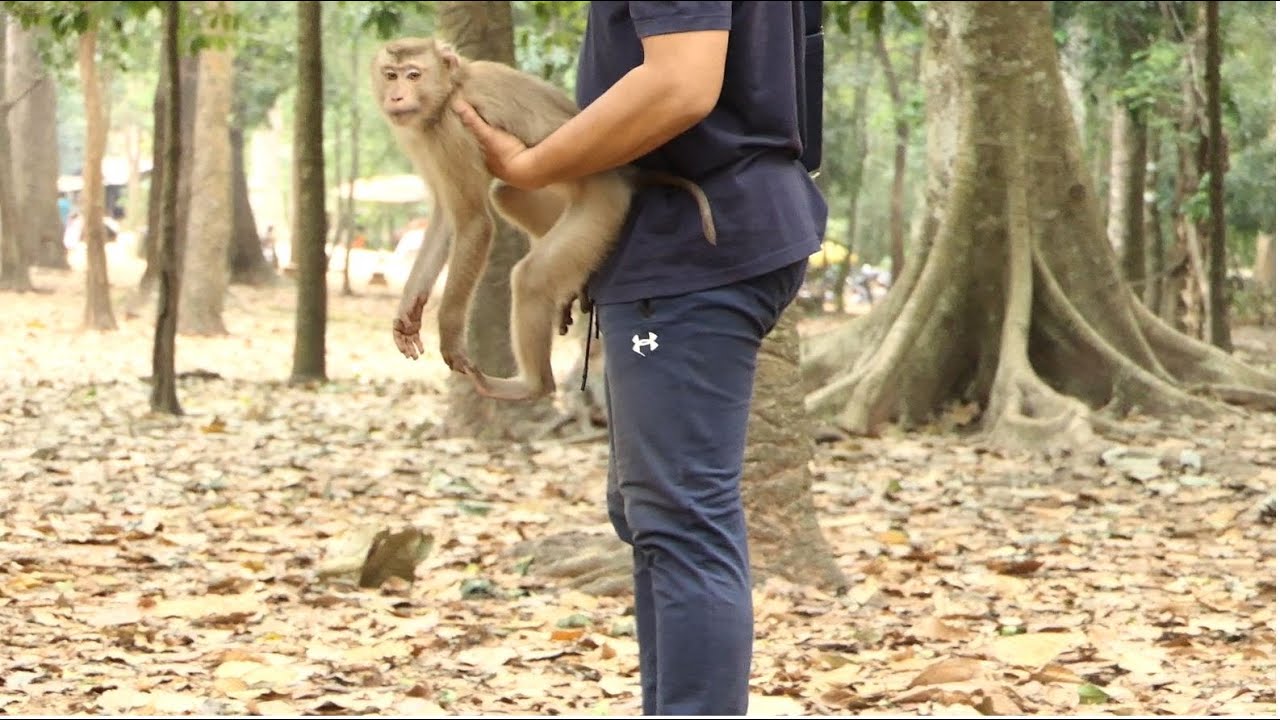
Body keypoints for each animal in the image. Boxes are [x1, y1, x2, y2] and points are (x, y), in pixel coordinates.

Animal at [374, 37, 716, 402]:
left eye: (413, 75)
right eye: (391, 75)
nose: (396, 96)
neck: (446, 95)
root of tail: (626, 173)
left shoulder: (451, 129)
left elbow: (473, 223)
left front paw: (450, 338)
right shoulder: (421, 136)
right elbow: (445, 215)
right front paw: (408, 310)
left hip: (603, 203)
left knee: (530, 277)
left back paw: (533, 386)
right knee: (507, 194)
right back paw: (575, 284)